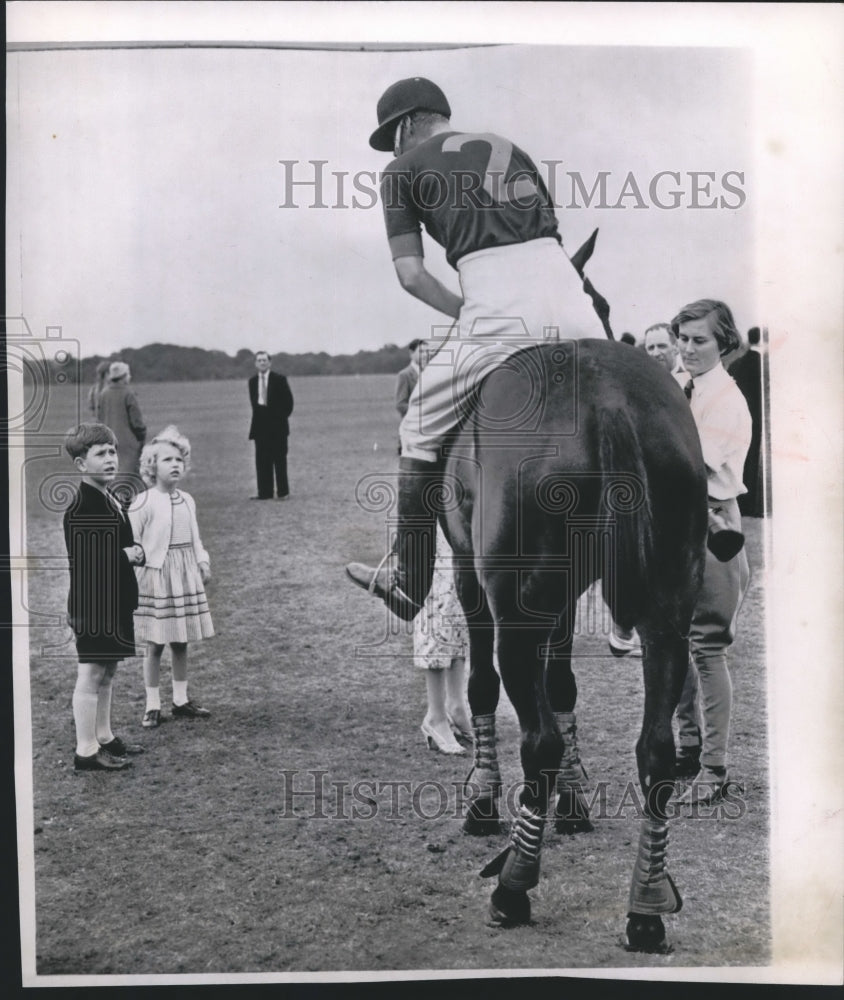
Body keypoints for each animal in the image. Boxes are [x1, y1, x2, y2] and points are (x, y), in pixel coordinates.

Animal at [438, 338, 708, 952]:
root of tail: (607, 401)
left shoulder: (471, 578)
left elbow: (483, 685)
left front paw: (484, 797)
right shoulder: (560, 602)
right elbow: (563, 684)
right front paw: (573, 796)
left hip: (513, 612)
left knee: (537, 741)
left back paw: (513, 887)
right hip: (668, 614)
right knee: (655, 751)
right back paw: (647, 905)